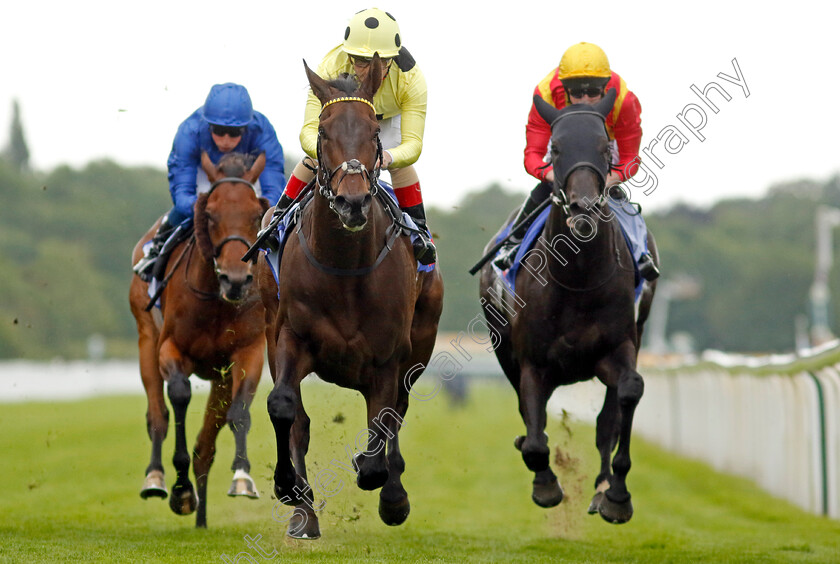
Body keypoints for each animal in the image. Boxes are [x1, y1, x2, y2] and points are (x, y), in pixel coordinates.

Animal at [128, 151, 270, 528]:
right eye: (210, 214)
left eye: (256, 215)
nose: (236, 279)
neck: (217, 299)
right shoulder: (170, 348)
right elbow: (178, 396)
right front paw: (180, 490)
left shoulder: (249, 351)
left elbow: (239, 413)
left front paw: (242, 477)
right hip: (145, 338)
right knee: (157, 415)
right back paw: (157, 478)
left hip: (220, 377)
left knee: (206, 445)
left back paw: (202, 518)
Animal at [258, 57, 446, 536]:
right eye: (323, 131)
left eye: (374, 129)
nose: (353, 203)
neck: (343, 269)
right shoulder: (290, 336)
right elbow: (283, 407)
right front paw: (289, 488)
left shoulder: (389, 356)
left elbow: (384, 426)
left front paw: (380, 481)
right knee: (300, 420)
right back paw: (304, 513)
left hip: (420, 344)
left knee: (397, 412)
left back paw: (392, 492)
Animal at [480, 88, 656, 524]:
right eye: (555, 148)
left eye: (604, 147)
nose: (583, 208)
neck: (578, 278)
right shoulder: (531, 362)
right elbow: (535, 436)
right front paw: (544, 483)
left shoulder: (619, 347)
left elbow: (626, 396)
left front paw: (616, 494)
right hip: (501, 344)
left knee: (608, 418)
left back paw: (603, 487)